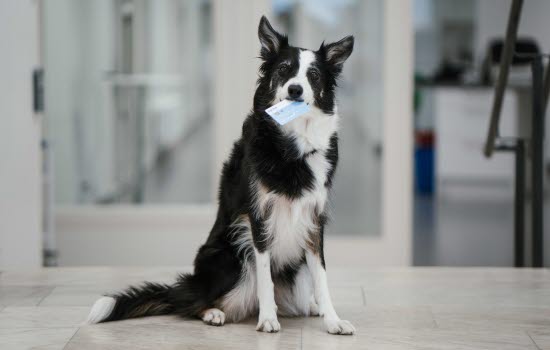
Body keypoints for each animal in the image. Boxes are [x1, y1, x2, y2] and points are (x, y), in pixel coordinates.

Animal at [88, 16, 356, 336]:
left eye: (313, 75)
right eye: (283, 69)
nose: (295, 90)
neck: (292, 147)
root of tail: (193, 285)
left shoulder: (314, 220)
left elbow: (322, 277)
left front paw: (333, 319)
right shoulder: (257, 219)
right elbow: (264, 277)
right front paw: (268, 319)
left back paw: (309, 308)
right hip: (229, 258)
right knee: (192, 303)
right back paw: (213, 312)